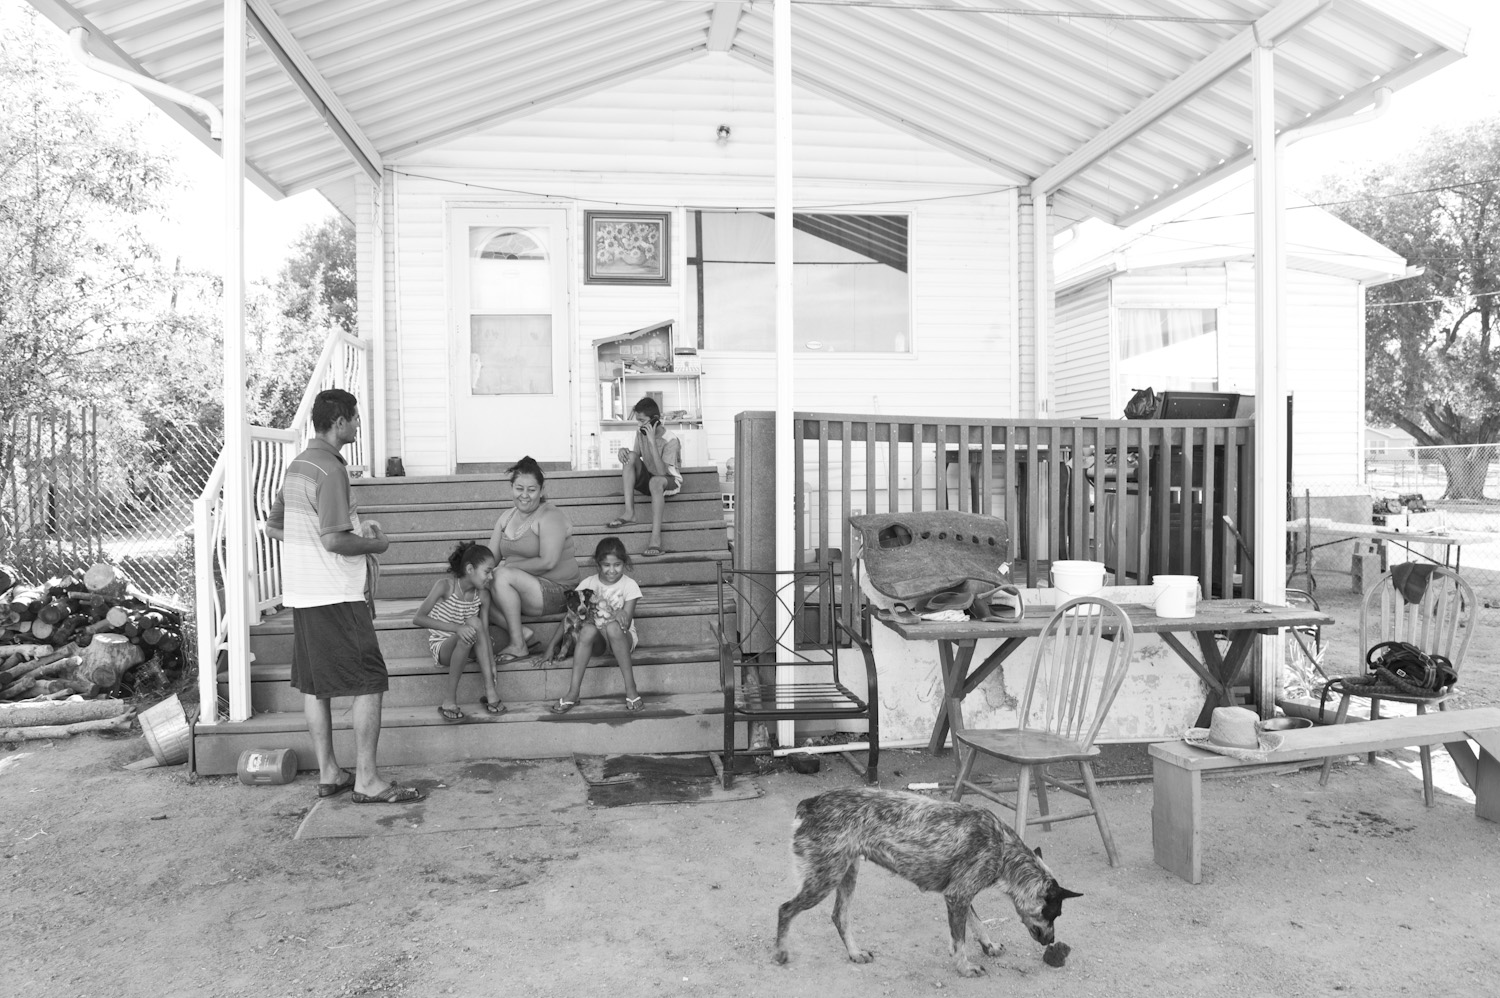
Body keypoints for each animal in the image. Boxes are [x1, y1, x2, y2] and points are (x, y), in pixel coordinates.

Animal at [774, 786, 1080, 972]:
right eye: (1055, 914)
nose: (1052, 942)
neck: (1003, 848)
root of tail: (809, 803)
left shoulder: (961, 895)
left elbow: (978, 924)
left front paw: (988, 946)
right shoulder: (957, 896)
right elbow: (960, 941)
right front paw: (964, 967)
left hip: (846, 875)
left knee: (840, 917)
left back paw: (855, 953)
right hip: (824, 880)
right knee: (785, 910)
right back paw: (781, 952)